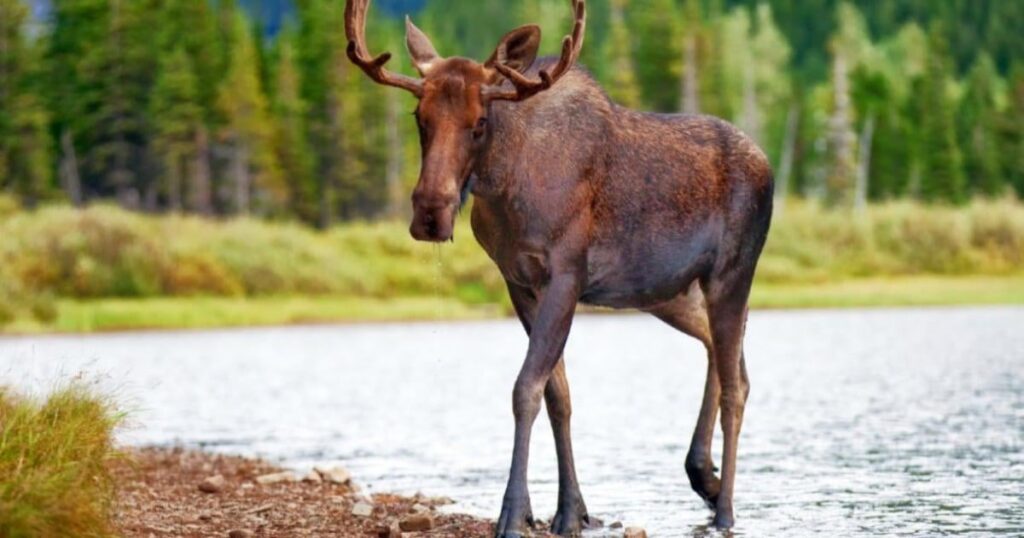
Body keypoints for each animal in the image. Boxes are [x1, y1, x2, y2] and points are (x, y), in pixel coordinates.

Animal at [345, 0, 773, 535]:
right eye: (418, 116)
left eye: (480, 122)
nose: (430, 211)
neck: (506, 189)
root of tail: (769, 166)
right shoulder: (518, 282)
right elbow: (558, 395)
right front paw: (569, 510)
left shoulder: (566, 276)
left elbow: (526, 388)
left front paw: (512, 512)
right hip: (670, 292)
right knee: (726, 354)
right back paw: (705, 477)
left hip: (732, 272)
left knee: (737, 384)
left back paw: (726, 508)